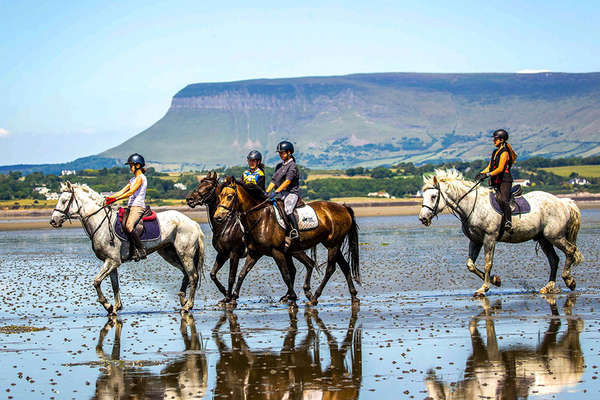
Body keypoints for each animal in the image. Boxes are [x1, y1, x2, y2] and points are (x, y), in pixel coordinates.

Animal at [49, 183, 204, 314]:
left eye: (64, 201)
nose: (53, 221)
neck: (101, 223)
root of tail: (193, 222)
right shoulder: (110, 262)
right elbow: (115, 285)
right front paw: (115, 307)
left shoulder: (112, 261)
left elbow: (97, 282)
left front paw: (107, 305)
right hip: (169, 253)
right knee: (186, 274)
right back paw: (183, 300)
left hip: (185, 254)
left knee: (193, 276)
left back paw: (188, 306)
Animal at [186, 172, 318, 304]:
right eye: (199, 184)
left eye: (208, 187)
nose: (189, 199)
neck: (226, 224)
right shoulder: (223, 253)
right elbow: (213, 274)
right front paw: (225, 293)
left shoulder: (234, 253)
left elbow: (231, 276)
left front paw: (229, 296)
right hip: (287, 253)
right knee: (294, 270)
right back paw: (287, 296)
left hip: (294, 251)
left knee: (306, 265)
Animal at [213, 176, 358, 306]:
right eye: (219, 196)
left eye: (230, 196)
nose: (218, 217)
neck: (260, 218)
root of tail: (343, 208)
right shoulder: (255, 253)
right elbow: (242, 274)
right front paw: (233, 298)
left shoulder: (277, 251)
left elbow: (285, 275)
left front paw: (292, 296)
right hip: (330, 244)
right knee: (344, 266)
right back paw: (353, 296)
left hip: (333, 244)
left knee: (329, 269)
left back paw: (315, 297)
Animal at [418, 169, 580, 296]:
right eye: (423, 196)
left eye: (433, 196)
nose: (422, 218)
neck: (472, 205)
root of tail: (563, 202)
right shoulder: (475, 240)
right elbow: (470, 264)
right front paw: (496, 280)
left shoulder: (489, 238)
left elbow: (487, 263)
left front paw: (484, 288)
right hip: (543, 238)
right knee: (554, 260)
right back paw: (549, 287)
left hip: (555, 236)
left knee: (570, 250)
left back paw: (569, 280)